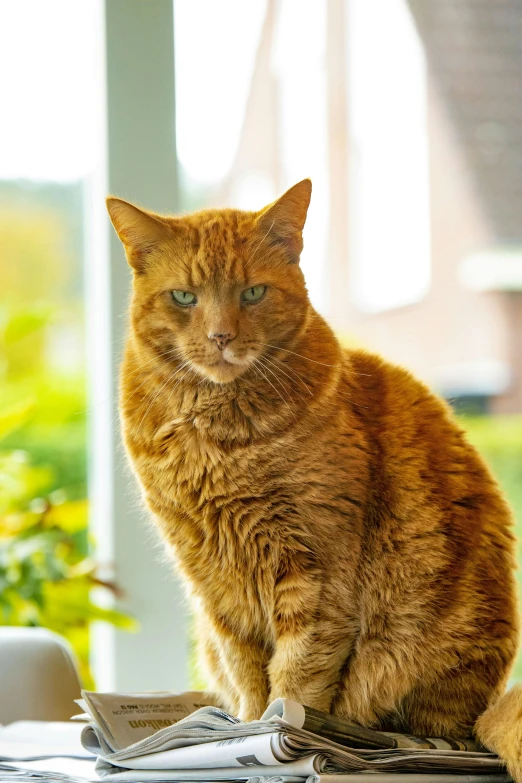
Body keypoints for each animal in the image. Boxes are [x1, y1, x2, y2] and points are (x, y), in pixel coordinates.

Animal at [107, 179, 516, 772]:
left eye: (254, 293)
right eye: (184, 297)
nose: (221, 336)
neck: (216, 432)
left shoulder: (316, 573)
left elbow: (297, 679)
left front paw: (282, 737)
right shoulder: (214, 581)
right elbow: (248, 673)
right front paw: (244, 729)